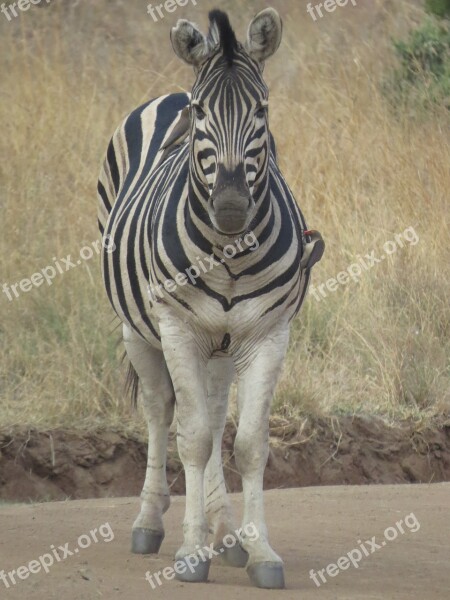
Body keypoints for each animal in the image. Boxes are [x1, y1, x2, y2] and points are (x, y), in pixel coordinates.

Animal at [97, 7, 324, 588]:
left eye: (262, 108)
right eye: (201, 113)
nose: (230, 208)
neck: (230, 255)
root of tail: (170, 91)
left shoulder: (269, 334)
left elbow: (248, 443)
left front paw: (258, 549)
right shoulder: (177, 329)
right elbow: (194, 437)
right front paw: (191, 553)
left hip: (222, 344)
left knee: (219, 412)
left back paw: (226, 533)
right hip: (138, 329)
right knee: (161, 412)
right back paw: (150, 524)